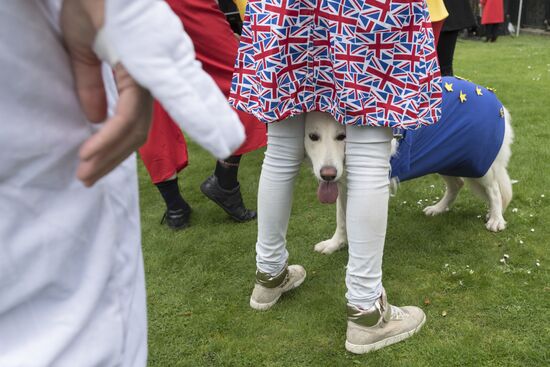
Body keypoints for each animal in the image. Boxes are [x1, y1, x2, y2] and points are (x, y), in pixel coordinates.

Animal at [306, 77, 516, 256]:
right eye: (313, 137)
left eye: (342, 136)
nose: (327, 175)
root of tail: (493, 97)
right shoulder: (343, 183)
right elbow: (341, 218)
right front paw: (336, 243)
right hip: (445, 158)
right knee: (457, 185)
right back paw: (438, 208)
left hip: (480, 166)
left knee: (495, 191)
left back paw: (496, 218)